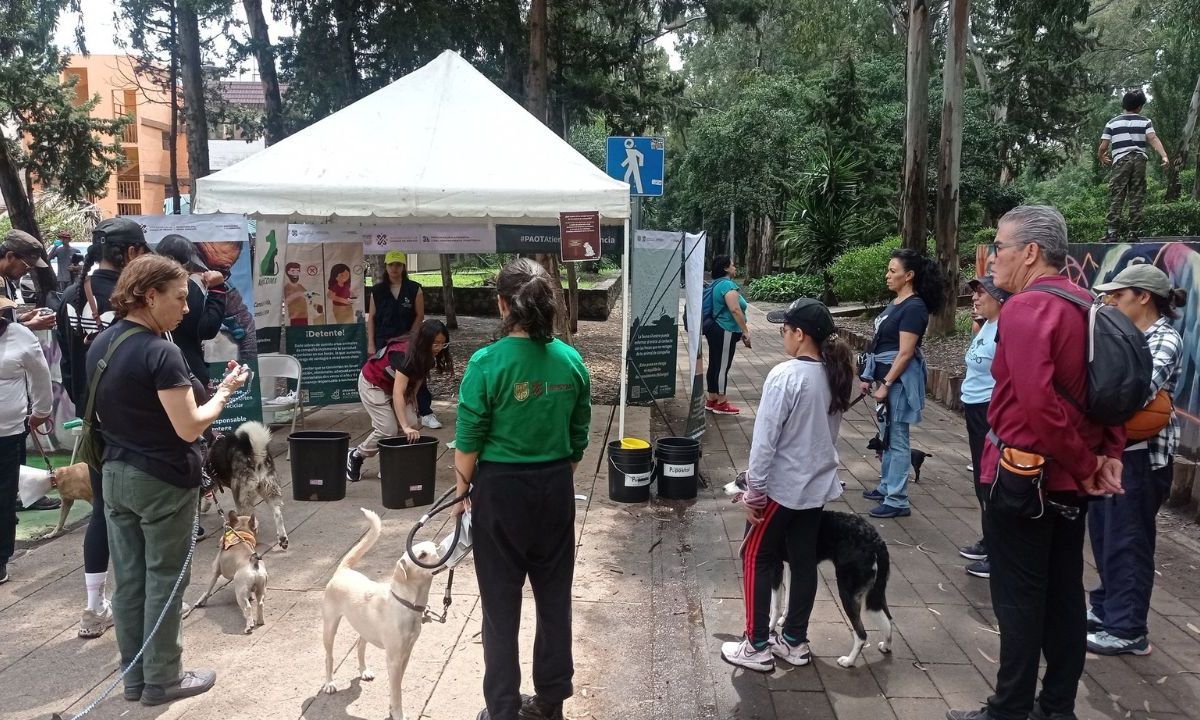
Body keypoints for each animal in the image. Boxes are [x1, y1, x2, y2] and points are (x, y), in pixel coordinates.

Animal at [324, 506, 441, 720]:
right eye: (421, 555)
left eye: (434, 547)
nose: (444, 551)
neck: (405, 604)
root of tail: (343, 570)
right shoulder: (393, 659)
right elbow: (397, 692)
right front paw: (398, 713)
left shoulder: (406, 654)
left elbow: (397, 687)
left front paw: (391, 709)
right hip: (329, 627)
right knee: (329, 657)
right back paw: (329, 683)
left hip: (364, 628)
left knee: (359, 645)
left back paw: (364, 671)